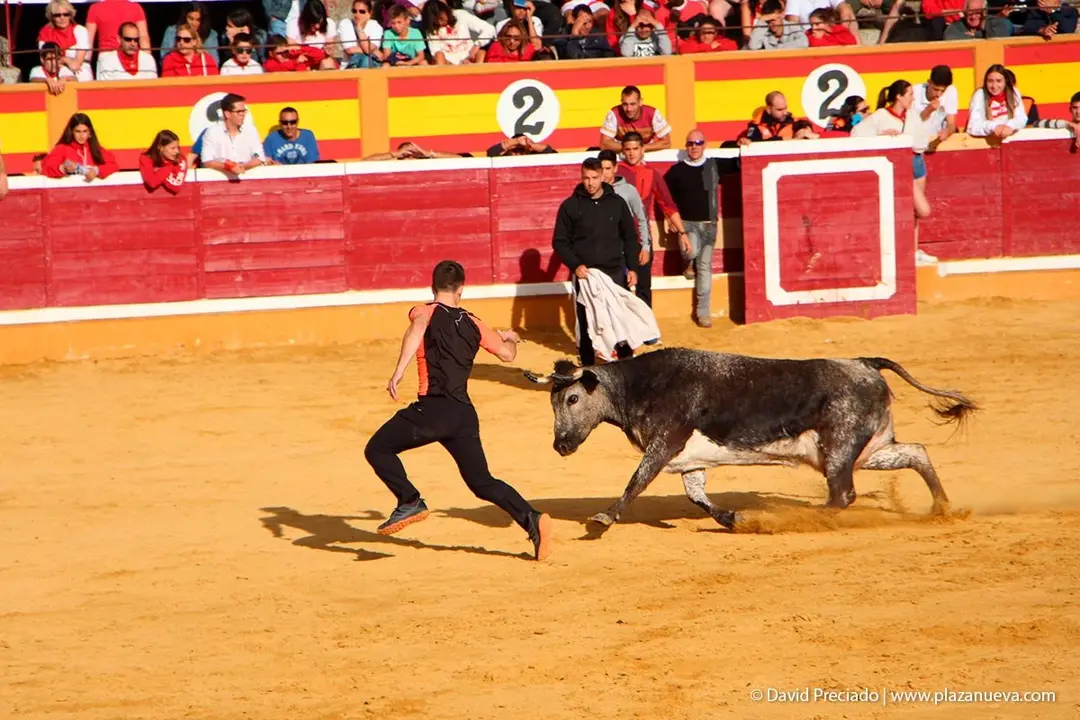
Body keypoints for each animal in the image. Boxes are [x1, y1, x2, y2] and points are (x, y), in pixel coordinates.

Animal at [524, 347, 977, 530]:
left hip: (839, 447)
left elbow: (636, 481)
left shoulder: (664, 443)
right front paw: (733, 519)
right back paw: (942, 508)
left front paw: (603, 518)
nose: (560, 445)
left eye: (573, 398)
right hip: (868, 448)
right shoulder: (690, 461)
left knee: (843, 494)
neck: (640, 385)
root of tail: (865, 363)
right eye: (552, 402)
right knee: (916, 452)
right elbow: (697, 497)